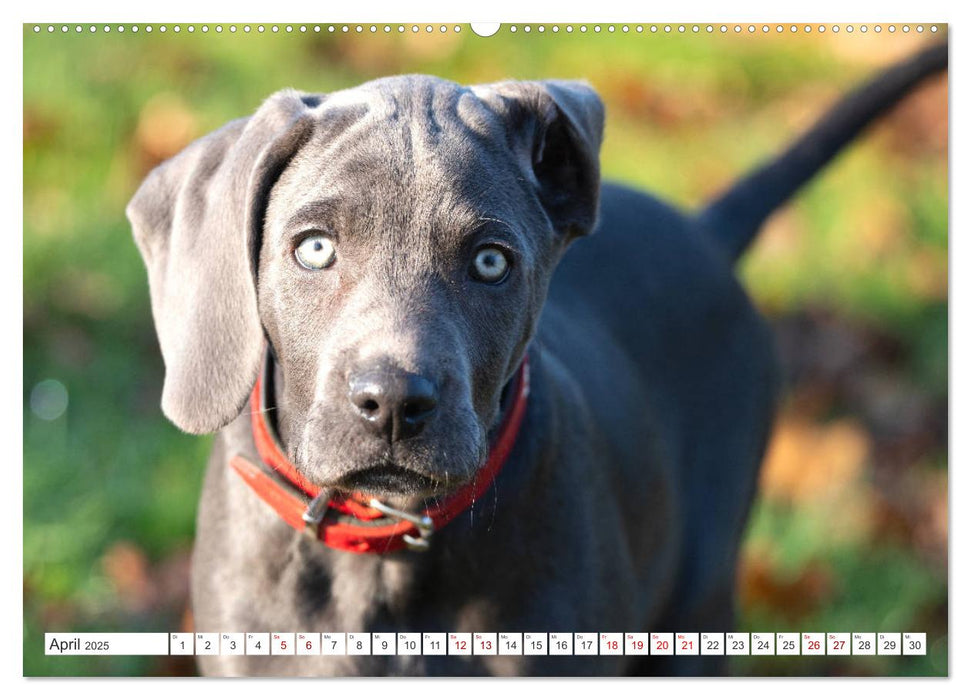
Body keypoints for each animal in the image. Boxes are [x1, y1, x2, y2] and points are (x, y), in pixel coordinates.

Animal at [125, 45, 944, 680]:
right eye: (315, 248)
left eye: (491, 262)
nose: (392, 404)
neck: (386, 555)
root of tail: (703, 231)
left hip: (699, 597)